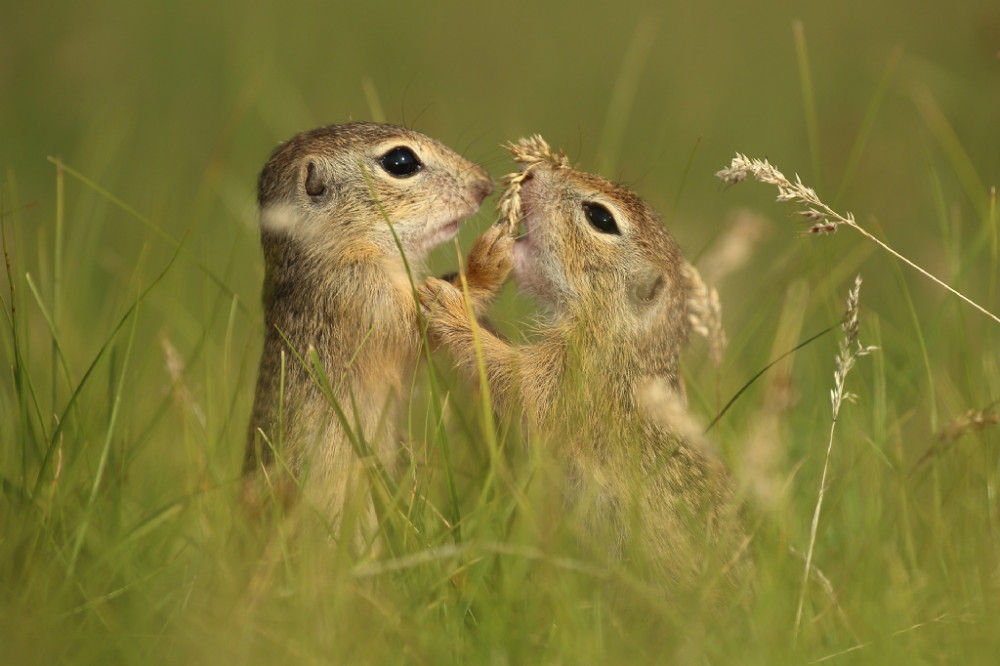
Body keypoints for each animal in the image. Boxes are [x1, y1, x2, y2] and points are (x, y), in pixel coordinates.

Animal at [246, 122, 496, 528]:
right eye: (400, 161)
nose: (485, 184)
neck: (333, 250)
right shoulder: (365, 302)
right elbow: (420, 332)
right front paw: (490, 257)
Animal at [418, 137, 748, 588]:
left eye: (600, 217)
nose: (534, 174)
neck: (621, 336)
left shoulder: (568, 381)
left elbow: (513, 379)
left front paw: (449, 304)